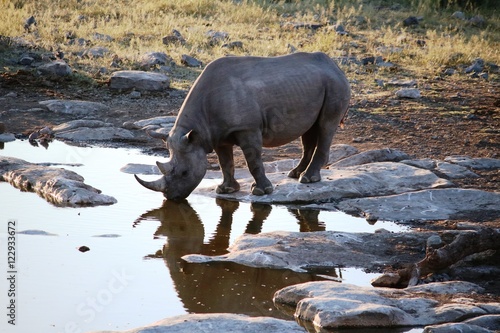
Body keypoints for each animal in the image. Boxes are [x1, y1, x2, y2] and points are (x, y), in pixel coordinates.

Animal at [135, 52, 350, 200]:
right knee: (310, 130)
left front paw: (262, 191)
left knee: (326, 126)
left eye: (185, 173)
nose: (171, 198)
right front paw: (226, 190)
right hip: (314, 85)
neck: (198, 129)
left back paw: (307, 179)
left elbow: (253, 161)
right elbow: (225, 162)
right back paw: (295, 174)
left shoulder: (247, 128)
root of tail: (336, 66)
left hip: (334, 85)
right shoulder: (216, 134)